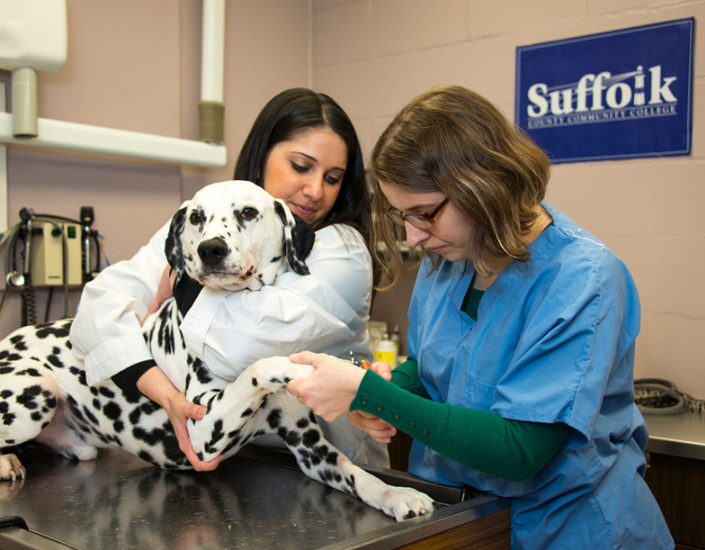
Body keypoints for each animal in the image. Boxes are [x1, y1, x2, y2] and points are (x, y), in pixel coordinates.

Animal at [0, 181, 434, 520]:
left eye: (248, 212)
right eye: (196, 217)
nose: (210, 249)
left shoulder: (311, 449)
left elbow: (360, 476)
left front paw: (398, 494)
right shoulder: (202, 429)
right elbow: (259, 366)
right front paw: (306, 370)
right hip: (37, 390)